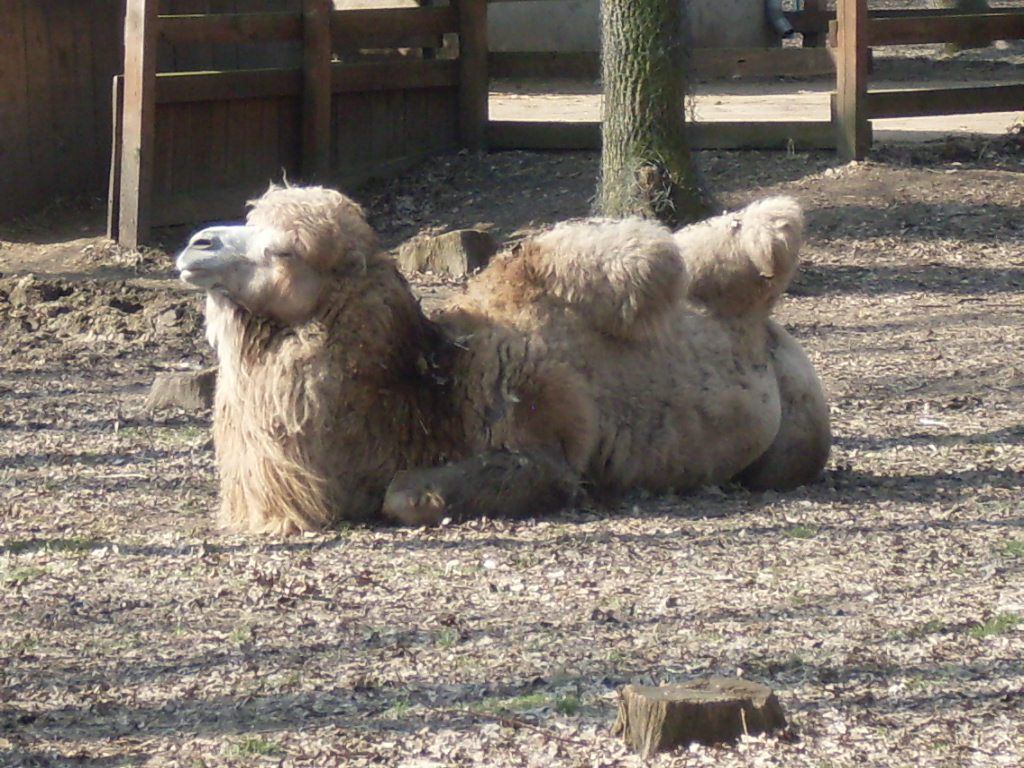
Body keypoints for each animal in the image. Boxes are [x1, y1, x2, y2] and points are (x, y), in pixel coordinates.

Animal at [176, 185, 830, 534]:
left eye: (286, 250)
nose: (195, 244)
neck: (428, 397)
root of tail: (768, 328)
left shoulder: (542, 456)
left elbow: (406, 496)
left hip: (796, 439)